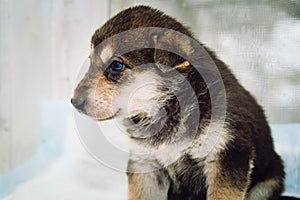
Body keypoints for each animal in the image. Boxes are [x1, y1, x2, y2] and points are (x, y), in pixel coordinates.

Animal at [71, 5, 290, 199]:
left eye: (116, 65)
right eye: (90, 62)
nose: (74, 102)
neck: (171, 104)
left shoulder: (228, 156)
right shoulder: (145, 164)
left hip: (270, 180)